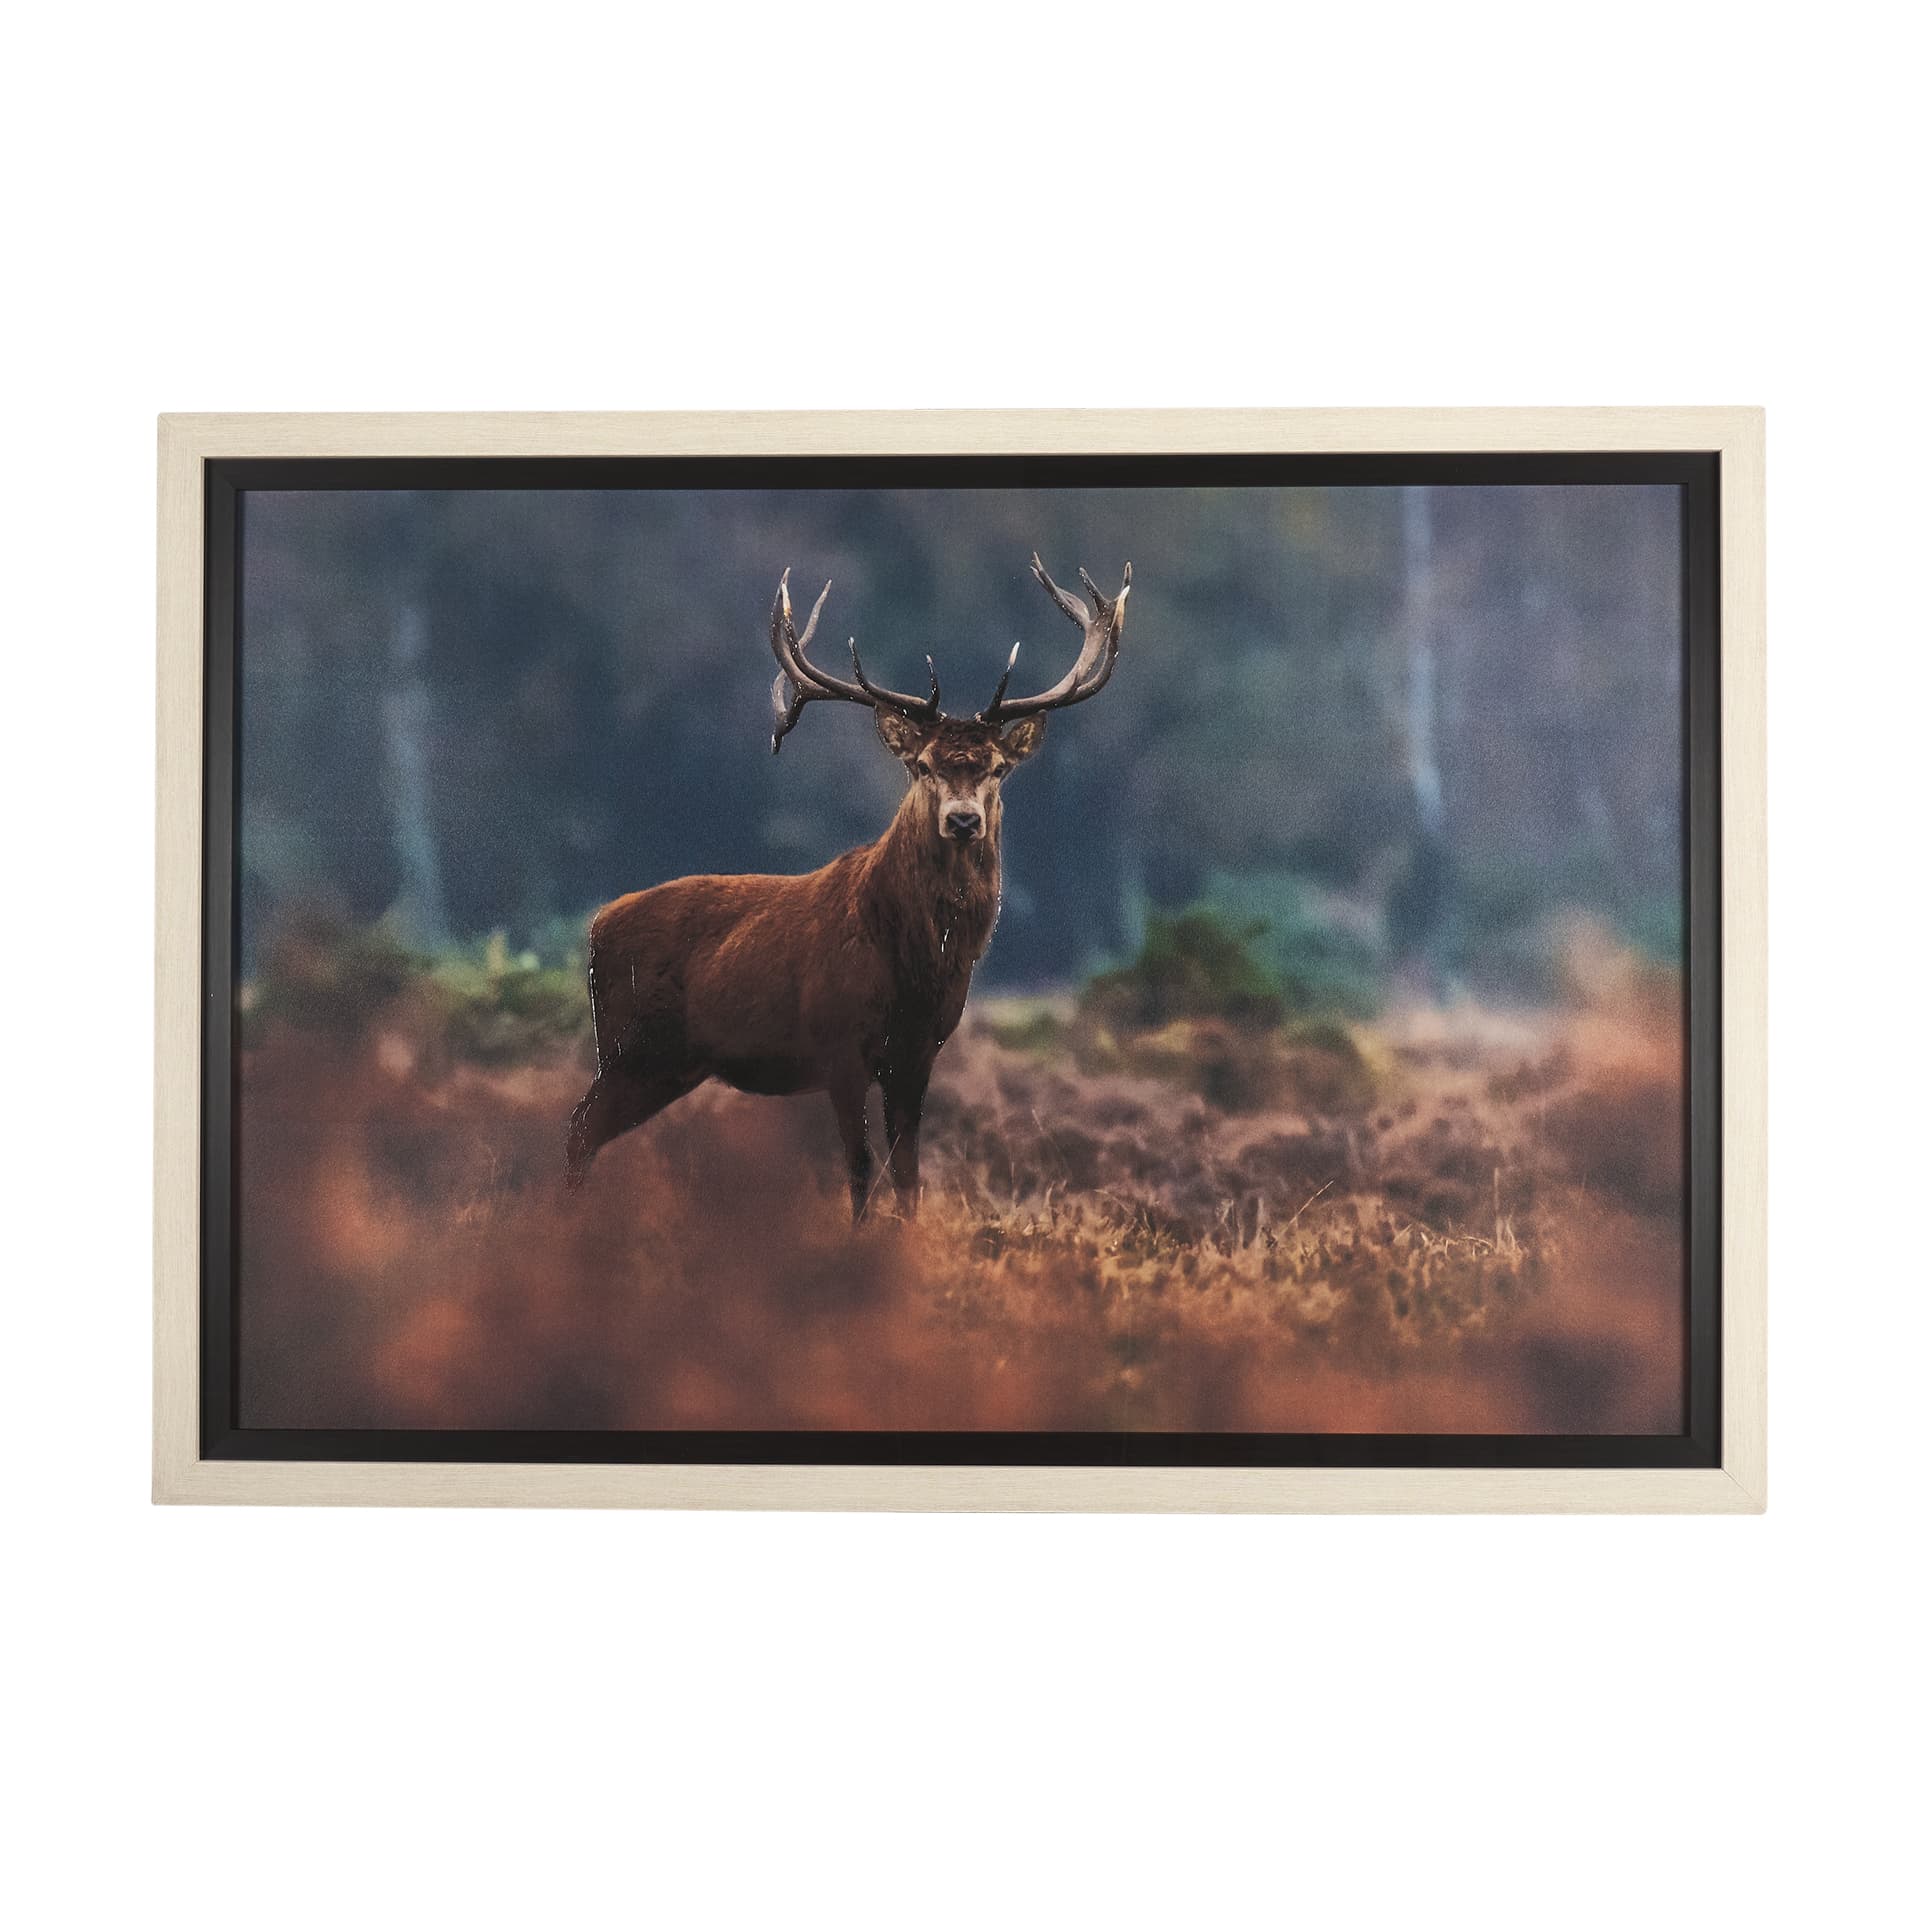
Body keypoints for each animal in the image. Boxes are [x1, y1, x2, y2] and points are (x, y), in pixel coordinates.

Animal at [565, 553, 1132, 1220]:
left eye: (996, 768)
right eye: (922, 765)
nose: (963, 820)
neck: (916, 964)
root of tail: (597, 927)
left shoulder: (920, 1051)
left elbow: (908, 1174)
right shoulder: (838, 1045)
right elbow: (860, 1170)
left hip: (667, 1063)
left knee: (586, 1129)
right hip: (633, 1047)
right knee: (579, 1126)